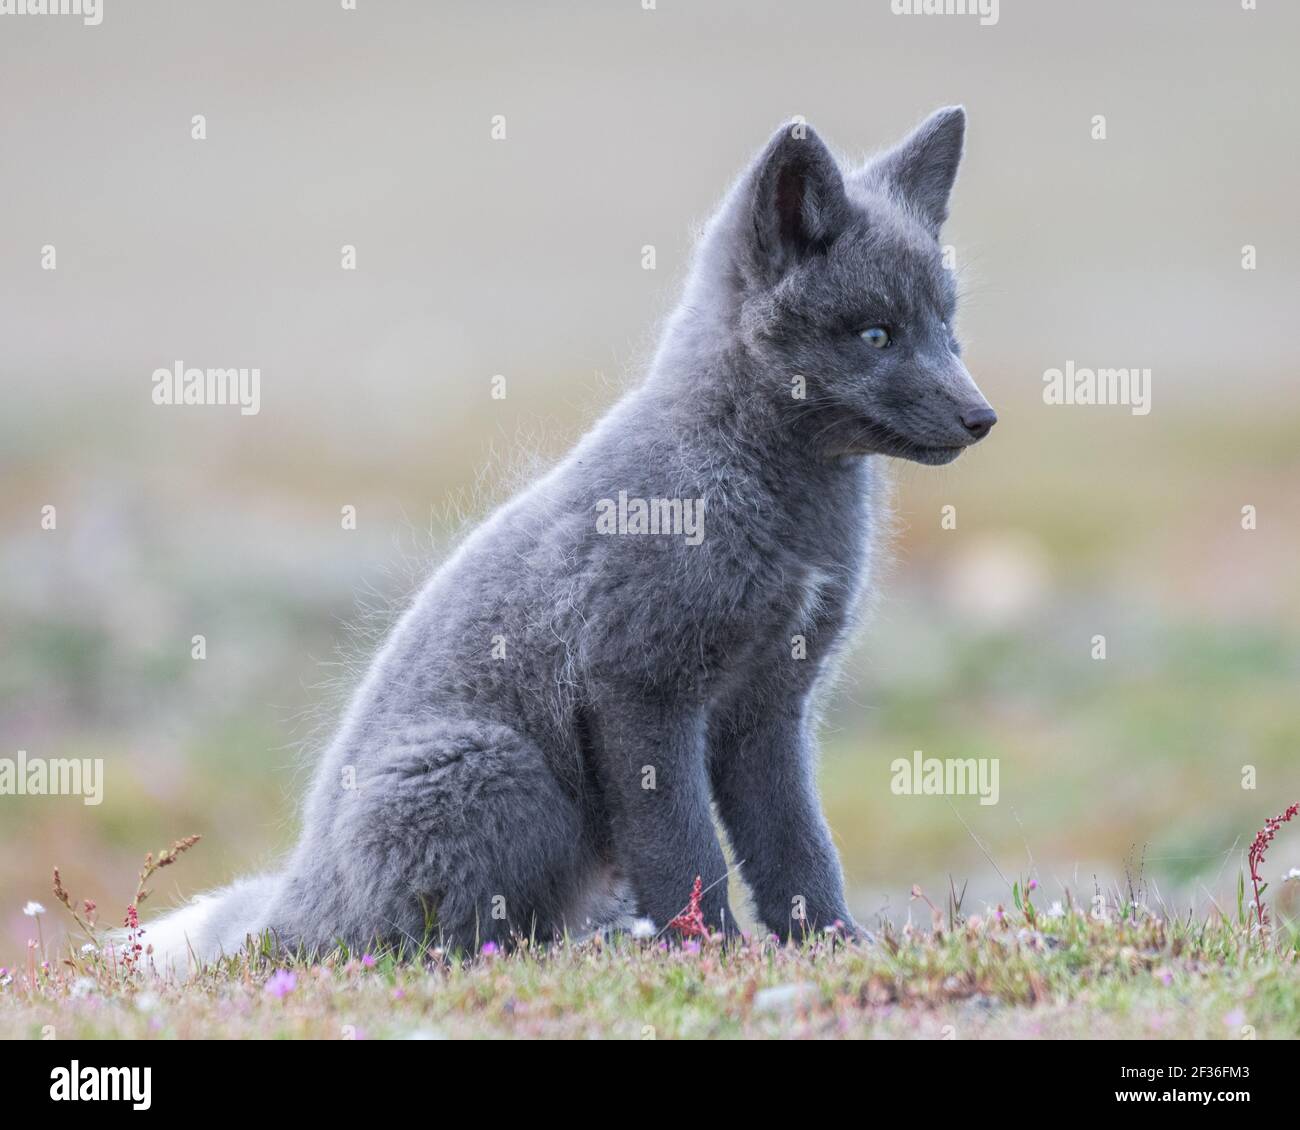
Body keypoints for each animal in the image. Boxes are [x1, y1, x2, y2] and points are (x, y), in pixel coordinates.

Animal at [144, 106, 996, 968]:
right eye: (877, 335)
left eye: (947, 328)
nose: (982, 418)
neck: (751, 486)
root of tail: (290, 905)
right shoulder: (637, 689)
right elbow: (686, 854)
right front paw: (712, 955)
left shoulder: (772, 706)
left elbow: (799, 848)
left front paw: (834, 945)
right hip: (503, 771)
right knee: (430, 942)